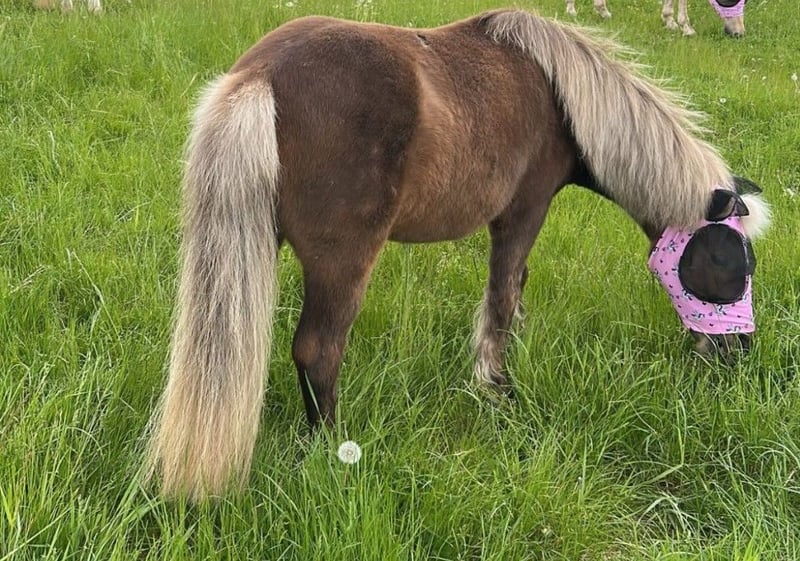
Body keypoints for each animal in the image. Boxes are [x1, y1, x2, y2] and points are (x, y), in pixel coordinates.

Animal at [144, 9, 771, 501]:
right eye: (733, 265)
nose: (738, 353)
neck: (559, 96)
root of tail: (260, 76)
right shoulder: (523, 211)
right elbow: (503, 292)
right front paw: (495, 384)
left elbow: (514, 291)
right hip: (343, 262)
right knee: (319, 351)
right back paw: (331, 449)